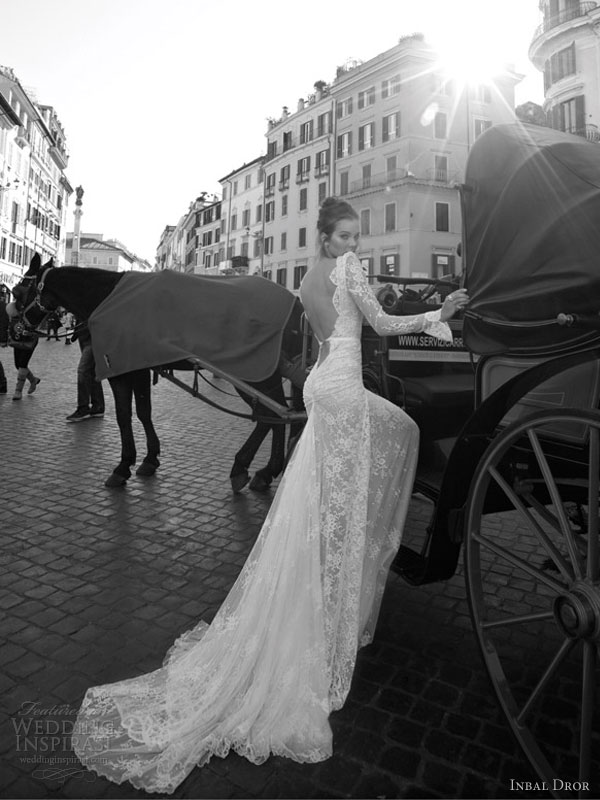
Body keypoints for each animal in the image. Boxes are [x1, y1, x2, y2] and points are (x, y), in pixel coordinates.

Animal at [16, 256, 308, 494]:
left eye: (18, 291)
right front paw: (149, 459)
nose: (17, 330)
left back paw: (245, 467)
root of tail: (297, 303)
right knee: (277, 416)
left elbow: (125, 415)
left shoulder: (124, 369)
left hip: (254, 373)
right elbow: (143, 412)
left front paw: (124, 465)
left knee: (270, 415)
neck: (107, 297)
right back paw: (267, 470)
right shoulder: (139, 367)